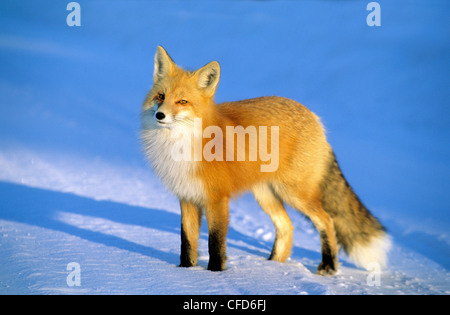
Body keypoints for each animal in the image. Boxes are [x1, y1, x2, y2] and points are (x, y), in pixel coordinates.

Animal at [141, 45, 390, 276]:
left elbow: (216, 243)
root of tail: (315, 118)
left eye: (182, 101)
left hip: (295, 194)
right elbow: (187, 241)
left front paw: (215, 275)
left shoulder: (217, 199)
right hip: (266, 195)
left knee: (327, 221)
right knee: (287, 226)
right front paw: (184, 271)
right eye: (161, 96)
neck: (181, 144)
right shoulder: (186, 196)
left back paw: (328, 267)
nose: (160, 115)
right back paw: (273, 267)